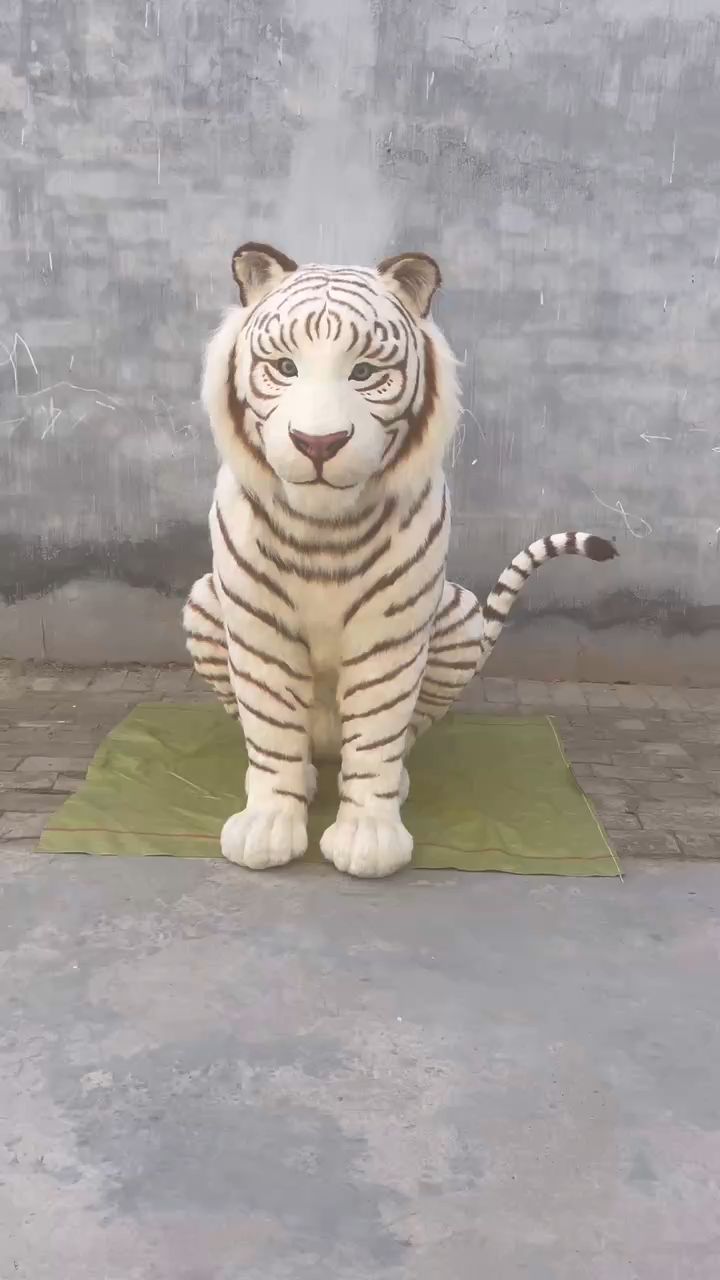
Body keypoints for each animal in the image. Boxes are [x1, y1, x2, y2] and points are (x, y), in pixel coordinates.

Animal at [183, 242, 618, 878]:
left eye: (364, 373)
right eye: (285, 367)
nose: (318, 443)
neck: (322, 525)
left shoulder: (389, 626)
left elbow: (378, 731)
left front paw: (368, 839)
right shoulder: (256, 617)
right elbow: (269, 728)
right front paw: (267, 826)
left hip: (459, 616)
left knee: (399, 738)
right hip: (203, 603)